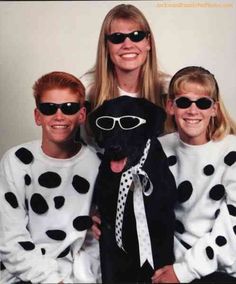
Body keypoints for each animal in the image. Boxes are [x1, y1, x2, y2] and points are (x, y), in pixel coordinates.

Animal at [88, 96, 177, 282]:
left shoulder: (164, 220)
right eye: (105, 123)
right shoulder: (108, 226)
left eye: (130, 122)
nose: (114, 148)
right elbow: (108, 270)